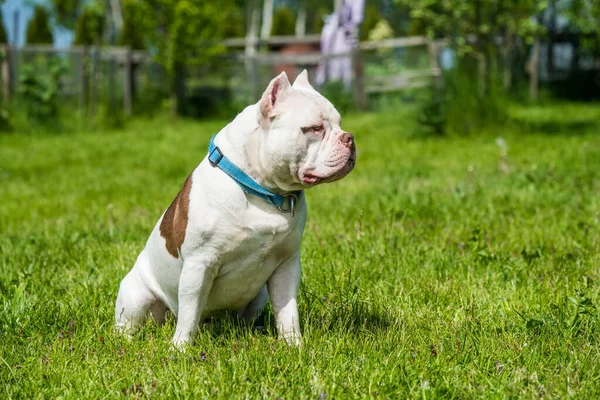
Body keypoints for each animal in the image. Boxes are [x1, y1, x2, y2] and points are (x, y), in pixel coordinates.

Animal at [115, 72, 354, 346]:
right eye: (315, 128)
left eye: (339, 123)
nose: (349, 138)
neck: (262, 191)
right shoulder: (198, 266)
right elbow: (189, 314)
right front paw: (180, 348)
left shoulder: (287, 265)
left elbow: (287, 312)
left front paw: (294, 345)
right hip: (136, 297)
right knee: (133, 322)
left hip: (259, 294)